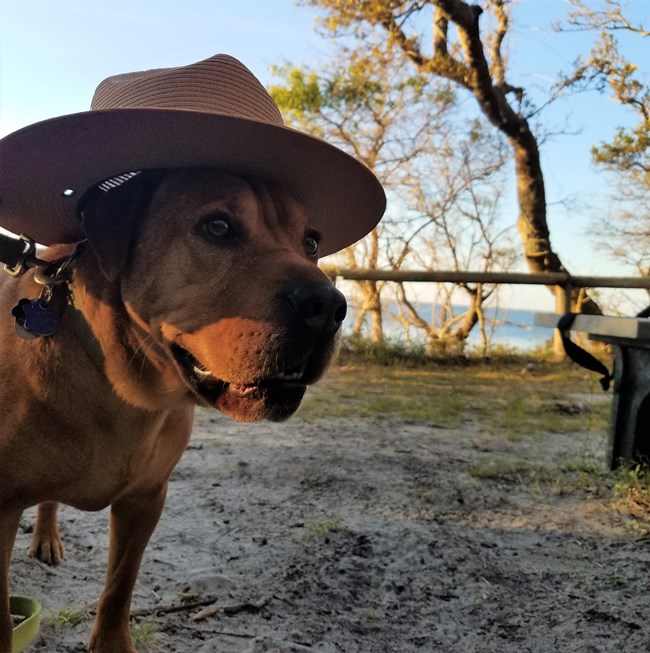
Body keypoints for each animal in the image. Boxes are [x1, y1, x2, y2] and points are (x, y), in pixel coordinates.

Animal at [0, 169, 350, 652]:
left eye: (311, 242)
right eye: (217, 227)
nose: (329, 306)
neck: (125, 391)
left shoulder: (147, 499)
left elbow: (120, 585)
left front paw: (111, 642)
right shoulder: (0, 510)